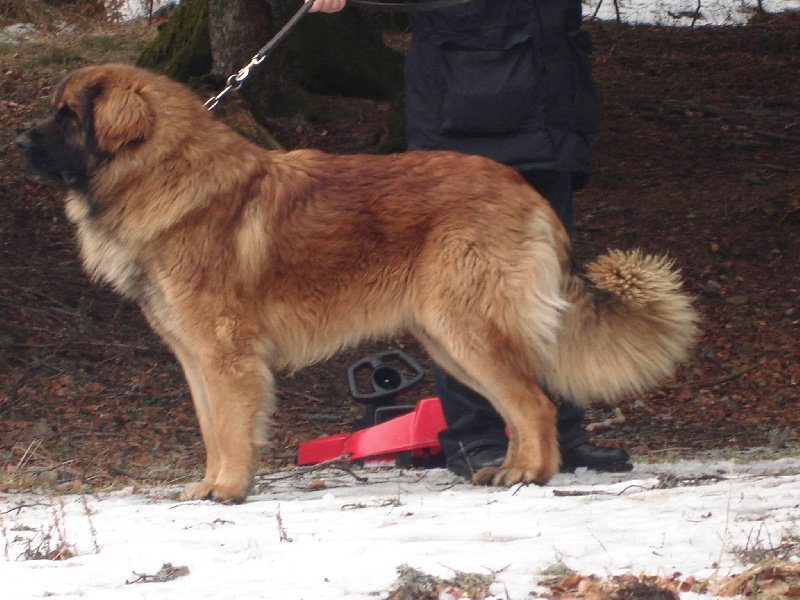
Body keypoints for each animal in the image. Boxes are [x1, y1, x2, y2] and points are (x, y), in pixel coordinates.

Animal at [15, 64, 696, 502]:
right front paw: (209, 484)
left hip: (467, 328)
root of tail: (528, 191)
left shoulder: (225, 354)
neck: (159, 170)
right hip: (449, 340)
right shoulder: (194, 357)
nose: (19, 140)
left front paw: (229, 490)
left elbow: (232, 428)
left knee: (535, 404)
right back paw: (510, 469)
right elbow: (211, 428)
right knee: (521, 406)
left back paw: (527, 477)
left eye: (67, 117)